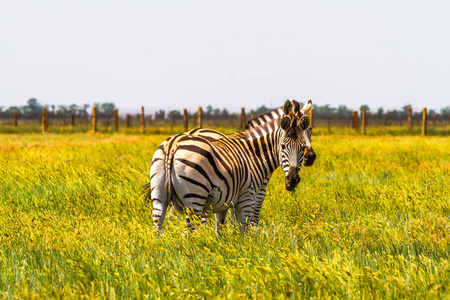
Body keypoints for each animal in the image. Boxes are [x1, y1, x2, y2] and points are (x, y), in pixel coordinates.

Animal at [149, 98, 314, 232]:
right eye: (283, 146)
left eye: (310, 131)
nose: (292, 180)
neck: (254, 153)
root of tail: (174, 143)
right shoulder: (251, 195)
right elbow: (247, 225)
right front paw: (248, 246)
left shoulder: (227, 199)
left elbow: (222, 227)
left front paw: (225, 245)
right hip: (195, 197)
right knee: (189, 232)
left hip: (159, 194)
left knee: (159, 226)